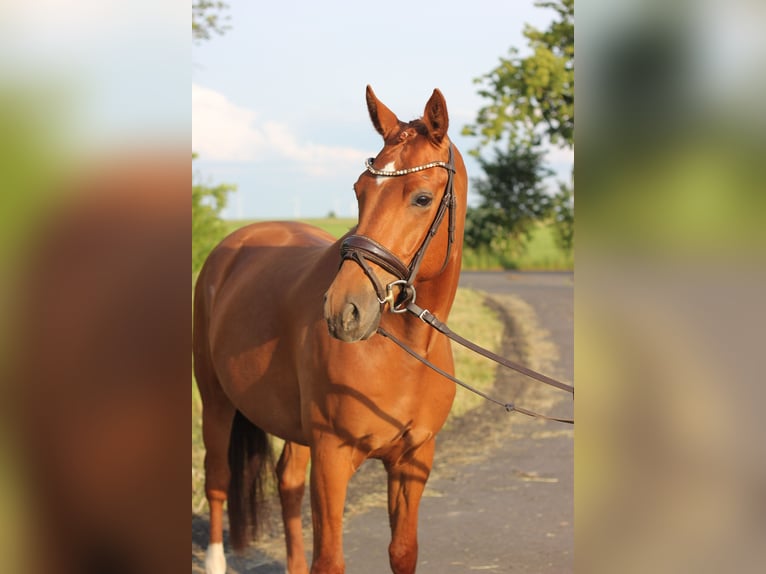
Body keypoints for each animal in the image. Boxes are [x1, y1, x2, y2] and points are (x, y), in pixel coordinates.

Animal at [194, 86, 468, 574]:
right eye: (360, 191)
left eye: (421, 198)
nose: (345, 310)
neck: (403, 354)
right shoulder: (332, 457)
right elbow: (330, 559)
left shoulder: (413, 459)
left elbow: (403, 551)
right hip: (216, 400)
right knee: (218, 478)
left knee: (286, 482)